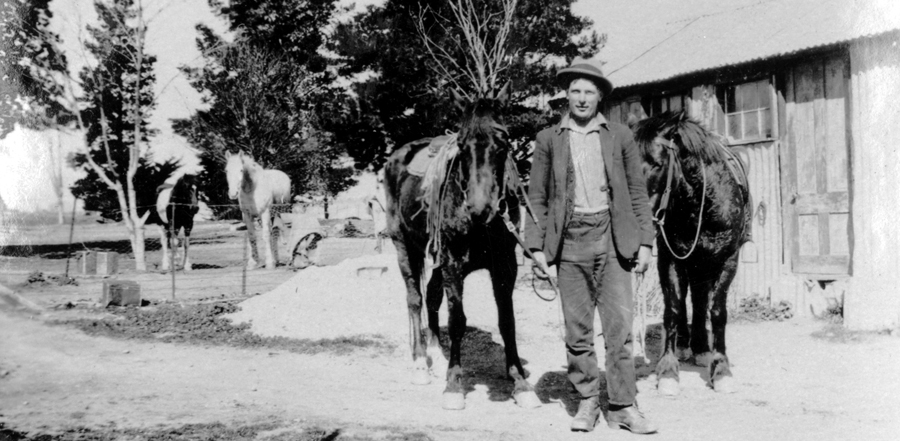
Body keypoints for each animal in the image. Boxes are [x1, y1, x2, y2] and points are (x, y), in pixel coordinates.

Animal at [382, 85, 536, 410]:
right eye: (462, 148)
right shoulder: (453, 262)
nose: (480, 209)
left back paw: (436, 355)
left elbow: (507, 321)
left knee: (431, 296)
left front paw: (520, 382)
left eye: (504, 143)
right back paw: (420, 363)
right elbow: (457, 321)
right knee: (415, 299)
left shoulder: (506, 265)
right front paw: (454, 385)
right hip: (404, 246)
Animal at [632, 110, 752, 396]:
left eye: (657, 164)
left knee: (699, 300)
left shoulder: (728, 260)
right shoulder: (670, 260)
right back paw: (687, 345)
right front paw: (668, 370)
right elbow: (673, 310)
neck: (702, 204)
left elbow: (717, 311)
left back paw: (701, 348)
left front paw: (721, 369)